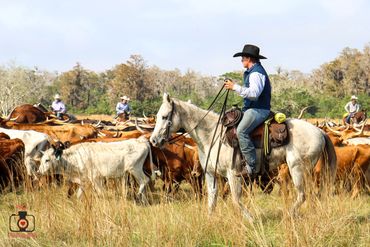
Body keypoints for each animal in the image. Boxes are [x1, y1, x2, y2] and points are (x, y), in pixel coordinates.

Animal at [149, 93, 336, 220]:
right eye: (157, 116)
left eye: (164, 117)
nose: (154, 140)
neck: (212, 135)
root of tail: (319, 131)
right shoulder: (210, 174)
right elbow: (212, 199)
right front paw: (209, 220)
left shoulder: (233, 174)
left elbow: (236, 199)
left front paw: (251, 219)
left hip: (297, 168)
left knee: (303, 194)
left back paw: (289, 215)